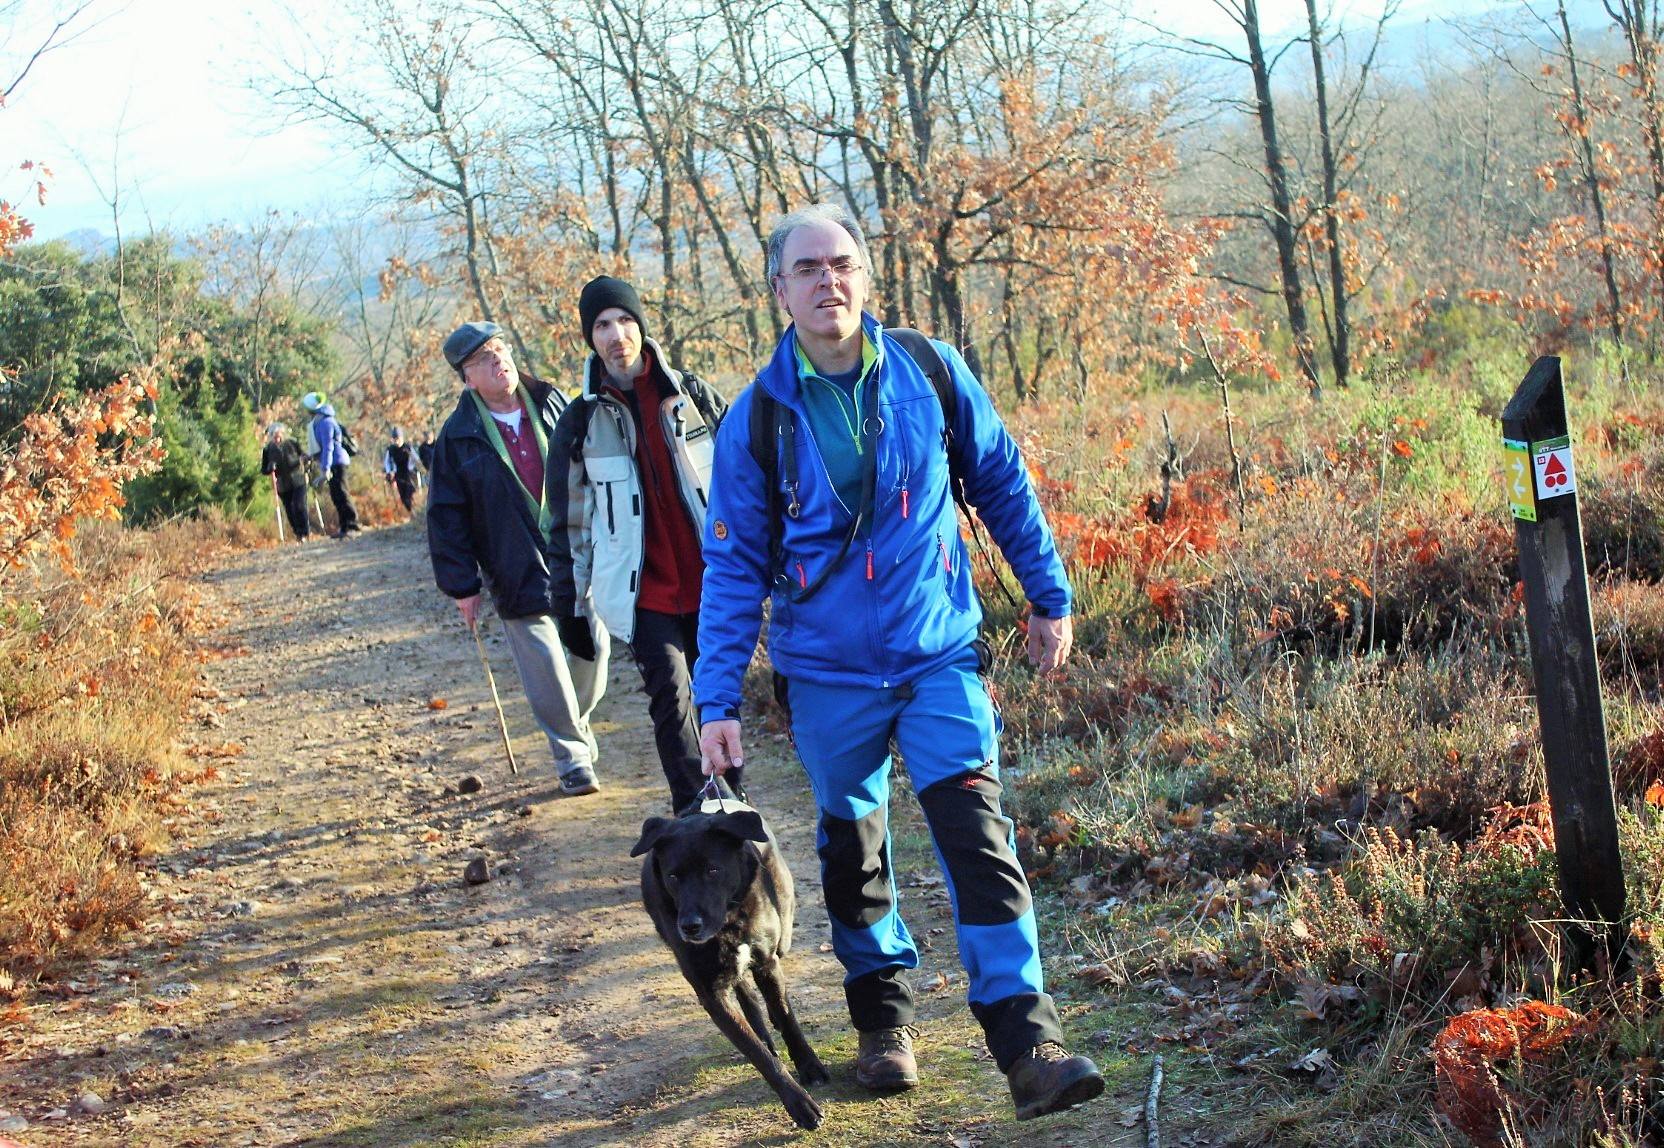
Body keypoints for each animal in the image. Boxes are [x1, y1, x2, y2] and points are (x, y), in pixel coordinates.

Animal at [625, 795, 828, 1124]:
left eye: (713, 870)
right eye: (673, 876)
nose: (689, 926)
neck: (729, 922)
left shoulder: (767, 963)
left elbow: (786, 1016)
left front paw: (810, 1066)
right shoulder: (711, 993)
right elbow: (756, 1052)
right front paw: (799, 1103)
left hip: (782, 934)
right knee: (745, 993)